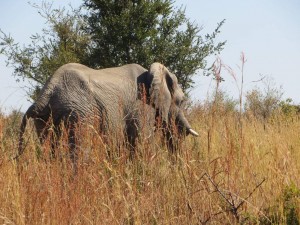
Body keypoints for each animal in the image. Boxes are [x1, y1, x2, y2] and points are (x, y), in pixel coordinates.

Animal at [17, 62, 199, 163]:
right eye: (181, 101)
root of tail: (48, 90)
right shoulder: (141, 106)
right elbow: (143, 143)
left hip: (45, 118)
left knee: (49, 150)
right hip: (80, 112)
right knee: (80, 152)